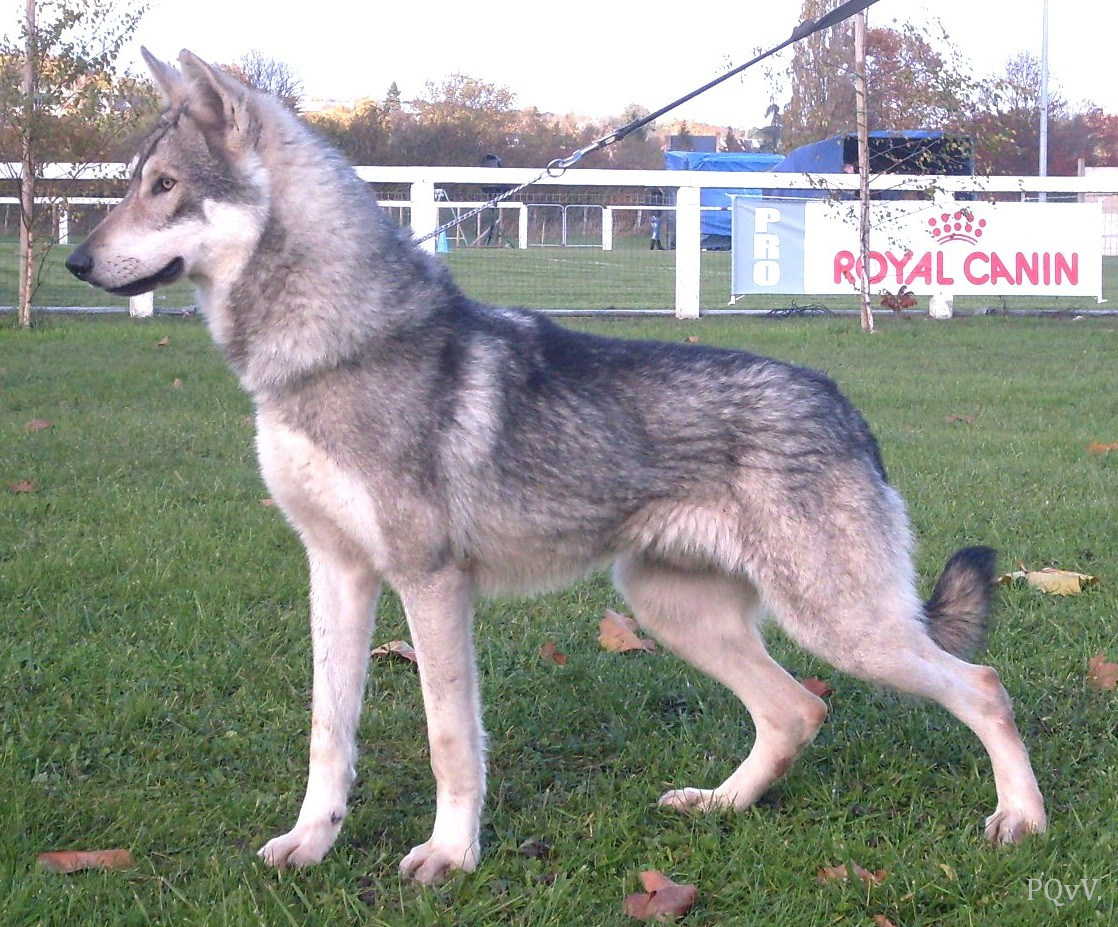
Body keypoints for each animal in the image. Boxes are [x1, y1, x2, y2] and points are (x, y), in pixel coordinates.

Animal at [66, 50, 1047, 883]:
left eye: (164, 187)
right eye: (129, 184)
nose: (75, 260)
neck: (332, 350)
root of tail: (845, 406)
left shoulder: (429, 582)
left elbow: (449, 739)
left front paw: (450, 855)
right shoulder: (336, 571)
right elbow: (328, 731)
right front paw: (312, 841)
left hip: (841, 627)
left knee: (981, 687)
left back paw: (1023, 821)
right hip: (670, 607)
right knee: (797, 710)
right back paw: (718, 804)